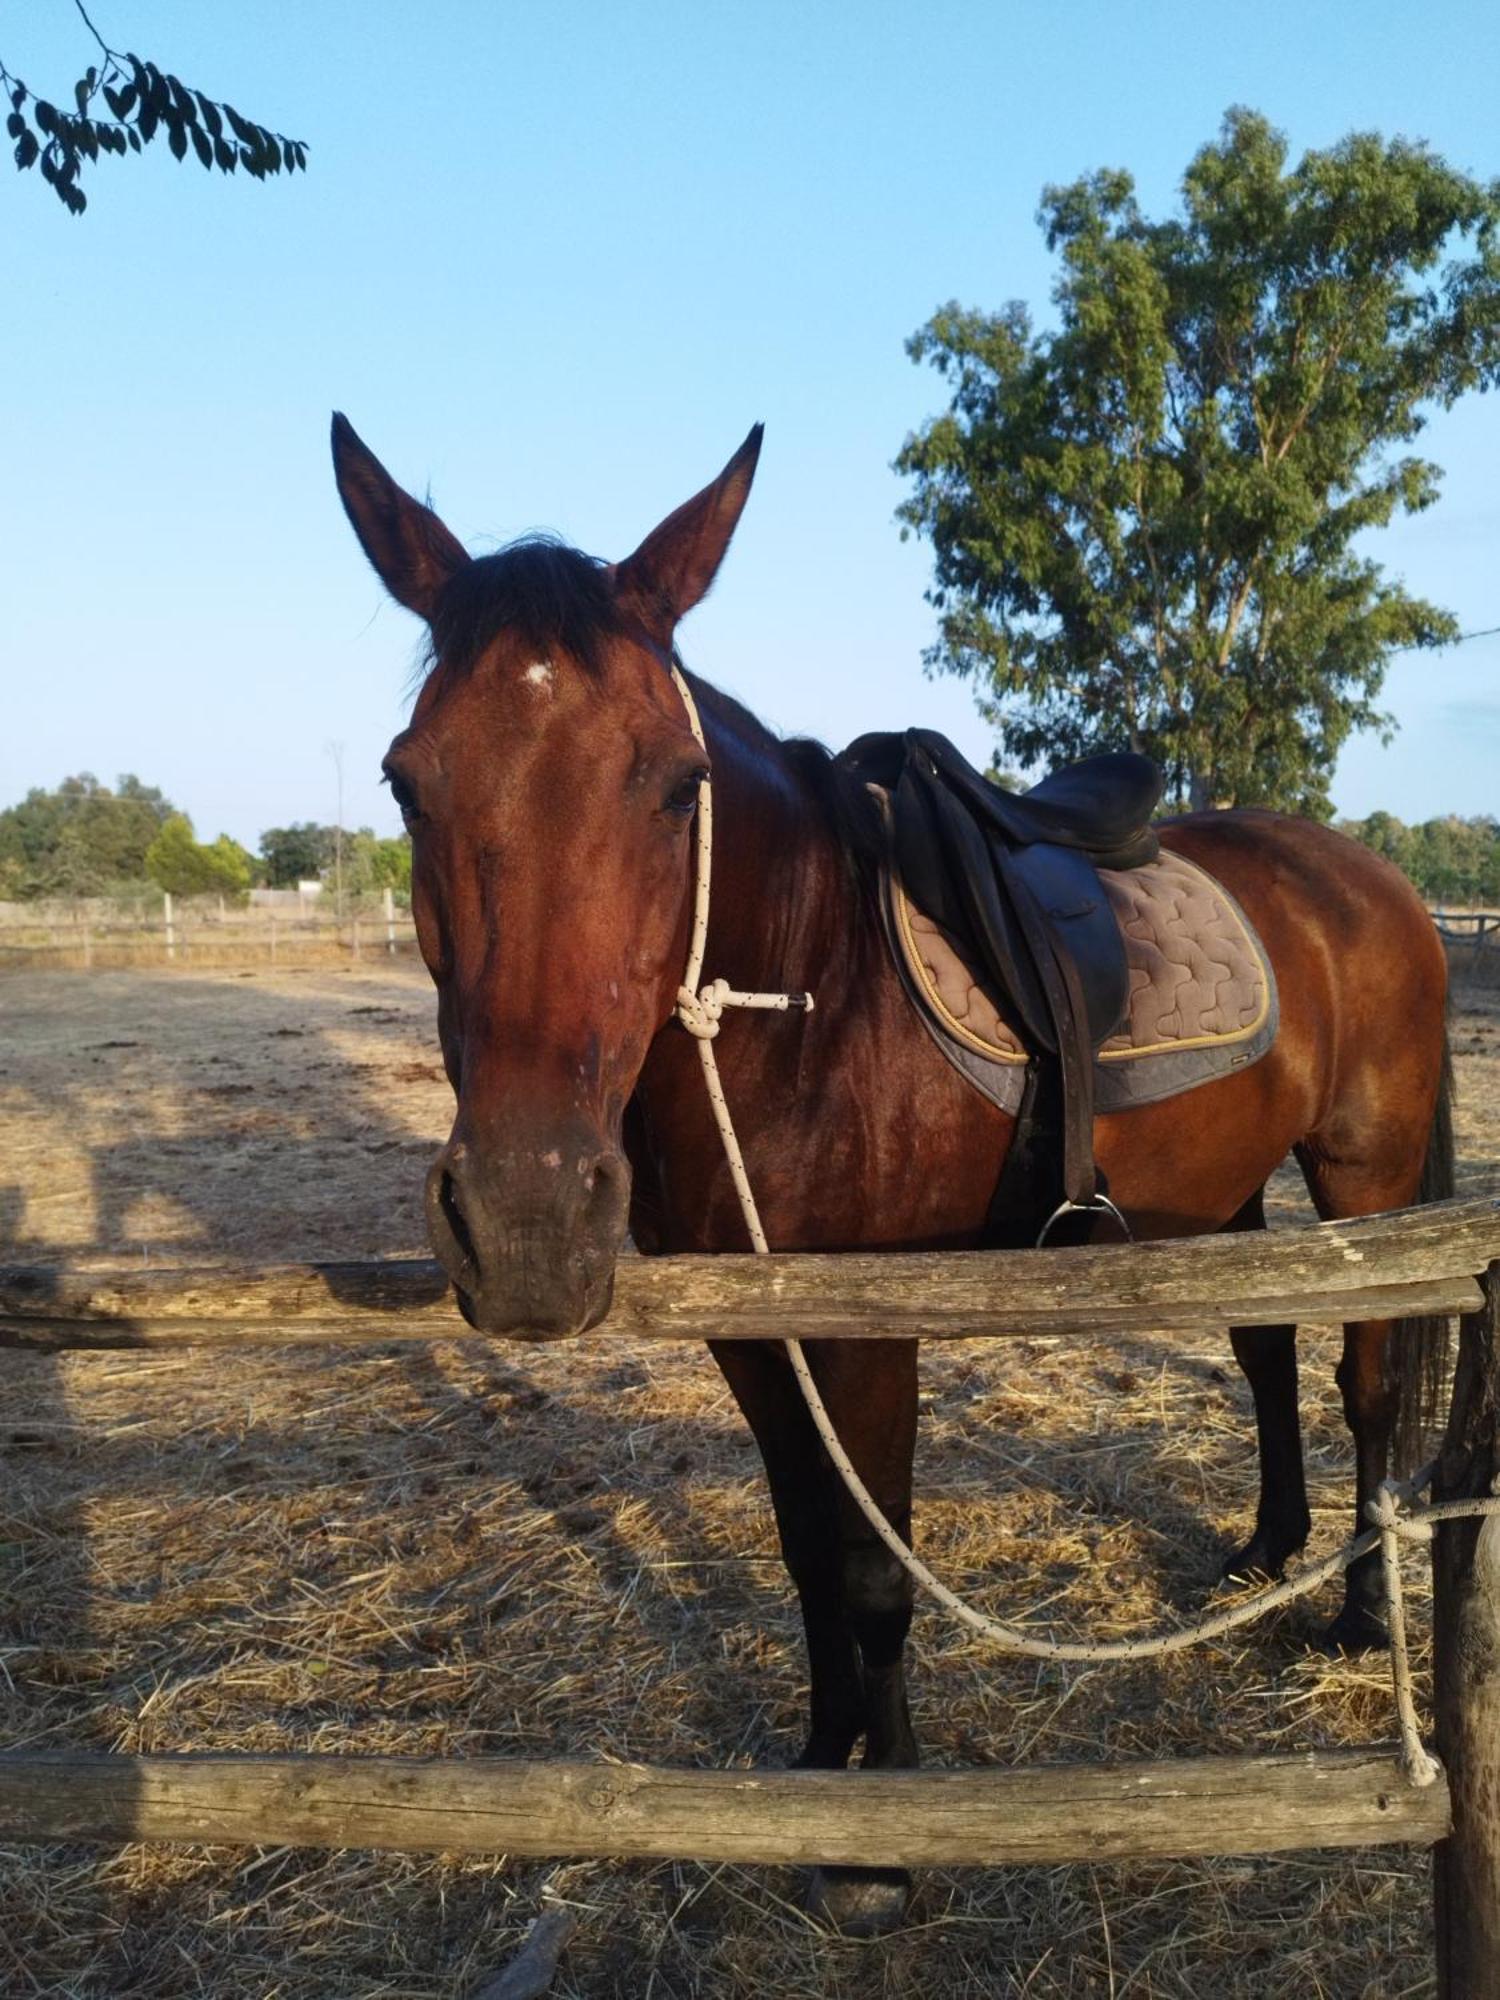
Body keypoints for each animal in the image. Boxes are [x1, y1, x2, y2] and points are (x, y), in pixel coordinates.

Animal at [328, 414, 1456, 1928]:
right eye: (408, 779)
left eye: (676, 786)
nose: (522, 1226)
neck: (801, 993)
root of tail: (1373, 877)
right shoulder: (755, 1332)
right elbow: (808, 1547)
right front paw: (820, 1771)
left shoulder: (869, 1329)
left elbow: (871, 1567)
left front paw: (885, 1839)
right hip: (1227, 1192)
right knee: (1266, 1348)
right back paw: (1267, 1550)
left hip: (1365, 1176)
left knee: (1371, 1386)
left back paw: (1353, 1619)